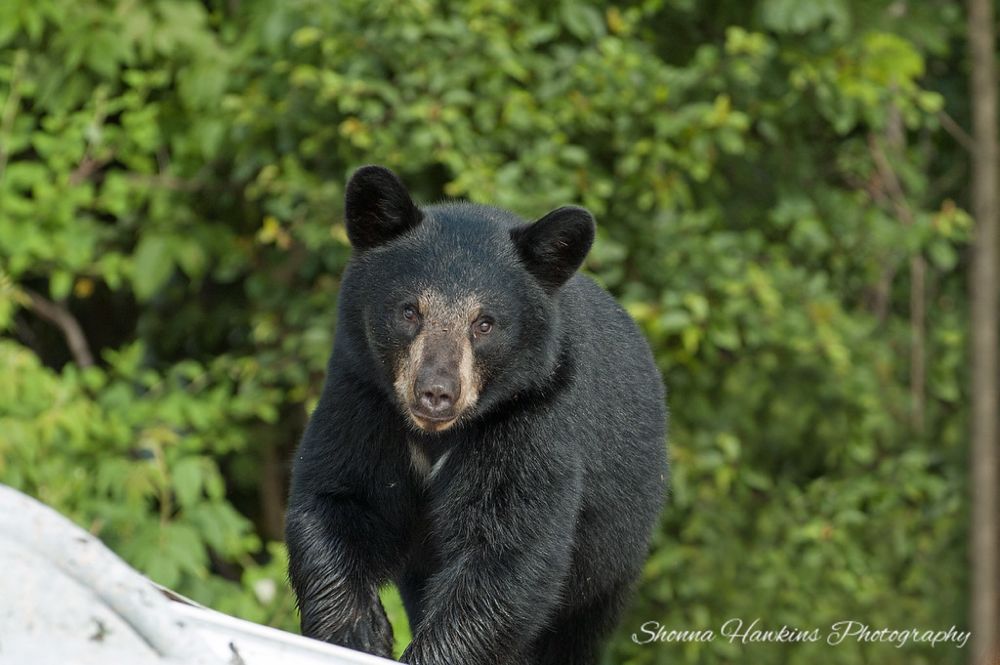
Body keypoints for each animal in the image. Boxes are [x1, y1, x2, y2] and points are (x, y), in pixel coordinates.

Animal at [286, 166, 668, 664]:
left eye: (484, 323)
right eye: (409, 311)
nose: (436, 393)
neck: (435, 435)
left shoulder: (533, 416)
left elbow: (506, 552)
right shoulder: (363, 395)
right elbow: (338, 497)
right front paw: (358, 632)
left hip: (613, 551)